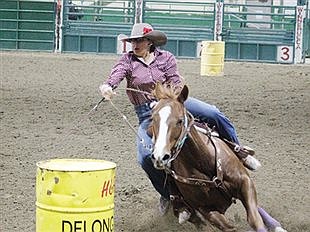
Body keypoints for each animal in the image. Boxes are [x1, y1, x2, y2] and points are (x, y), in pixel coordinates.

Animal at [148, 83, 286, 232]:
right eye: (153, 119)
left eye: (179, 121)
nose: (160, 156)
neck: (202, 163)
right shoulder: (205, 210)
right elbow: (230, 227)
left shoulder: (245, 182)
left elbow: (254, 219)